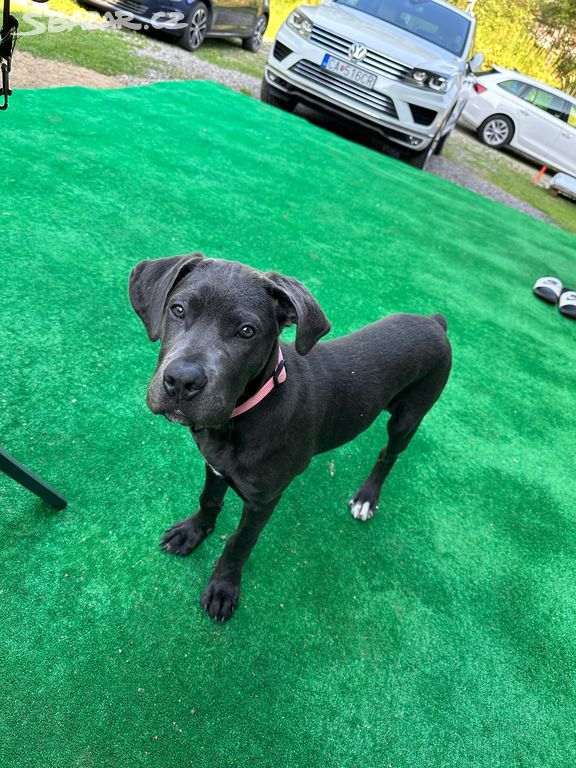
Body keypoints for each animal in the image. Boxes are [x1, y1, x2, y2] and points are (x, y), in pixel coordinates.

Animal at [128, 255, 452, 620]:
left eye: (247, 331)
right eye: (178, 309)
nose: (182, 382)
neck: (239, 417)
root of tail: (434, 322)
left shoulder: (264, 499)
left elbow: (240, 542)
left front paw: (223, 588)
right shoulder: (215, 465)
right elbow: (209, 500)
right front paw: (192, 533)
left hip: (409, 417)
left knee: (388, 454)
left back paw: (367, 497)